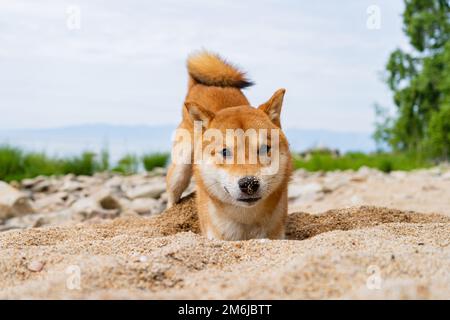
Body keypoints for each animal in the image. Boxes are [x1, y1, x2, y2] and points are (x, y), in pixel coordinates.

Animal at [165, 50, 292, 240]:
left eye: (264, 149)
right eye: (225, 152)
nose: (249, 183)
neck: (246, 224)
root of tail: (199, 85)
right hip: (180, 169)